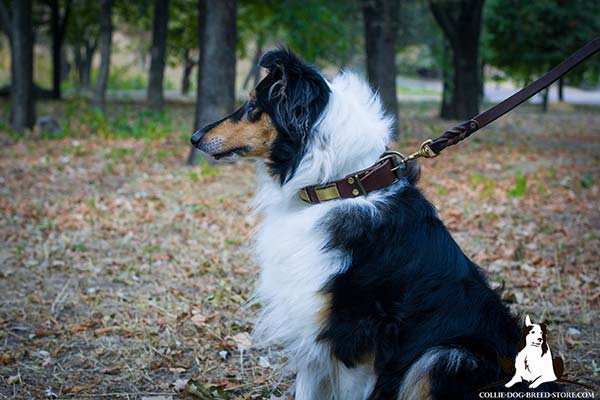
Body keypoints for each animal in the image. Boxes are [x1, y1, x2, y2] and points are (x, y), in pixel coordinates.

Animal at [191, 50, 556, 400]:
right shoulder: (313, 325)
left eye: (253, 105)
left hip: (445, 355)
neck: (337, 186)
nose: (195, 137)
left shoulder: (357, 338)